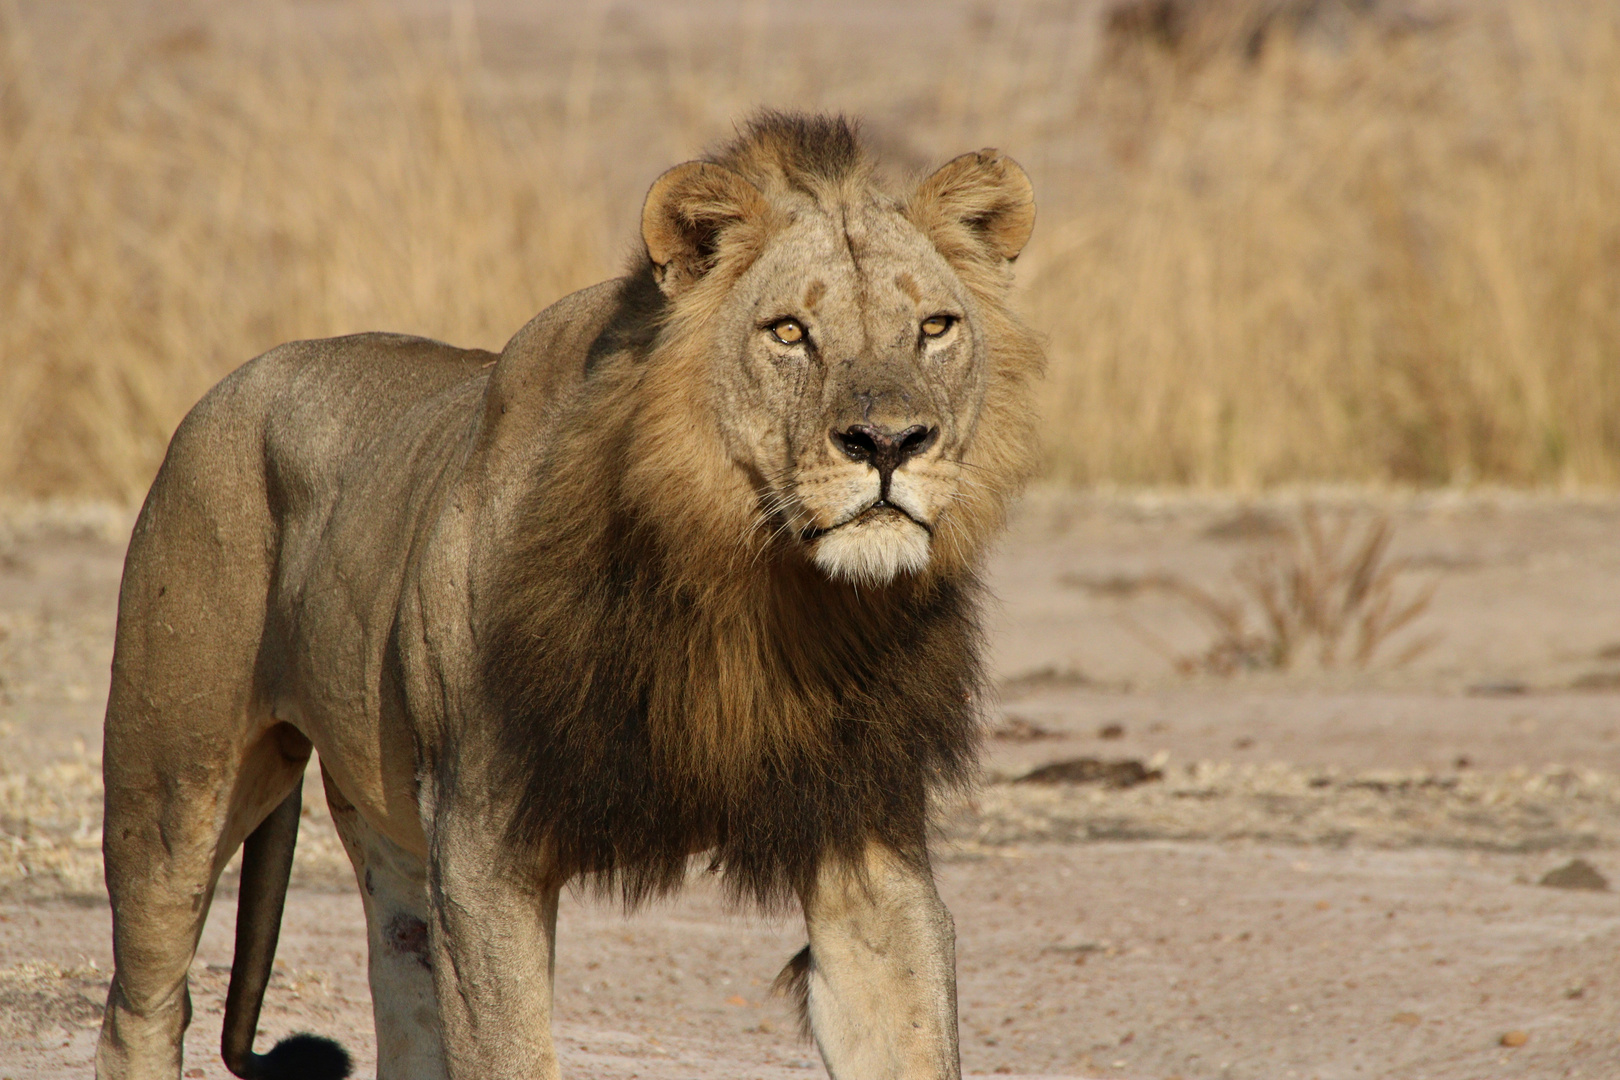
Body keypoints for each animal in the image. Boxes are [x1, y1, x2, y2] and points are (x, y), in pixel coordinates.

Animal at [98, 111, 1036, 1080]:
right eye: (787, 332)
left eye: (934, 327)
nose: (889, 442)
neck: (750, 582)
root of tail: (230, 385)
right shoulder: (483, 846)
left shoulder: (865, 841)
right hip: (169, 785)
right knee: (143, 1005)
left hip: (390, 846)